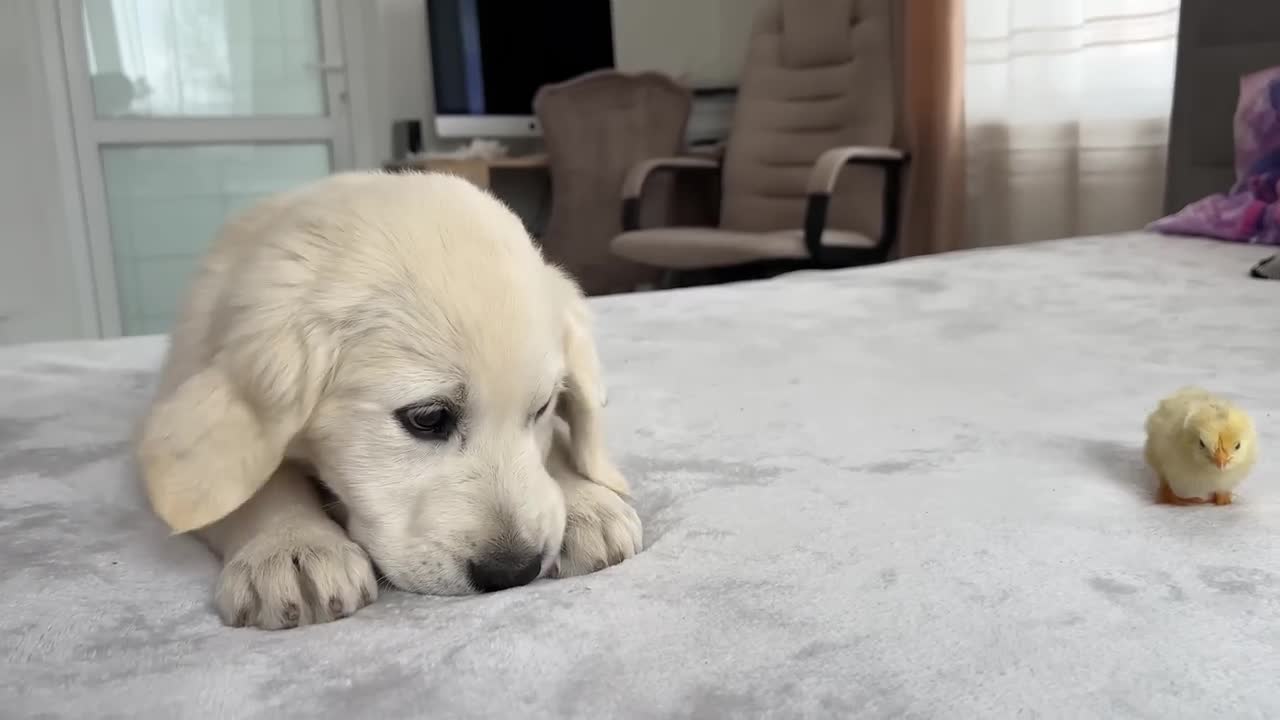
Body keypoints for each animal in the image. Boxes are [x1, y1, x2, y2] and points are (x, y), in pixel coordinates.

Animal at [132, 170, 640, 625]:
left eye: (542, 408)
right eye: (427, 418)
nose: (513, 570)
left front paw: (584, 503)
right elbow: (252, 483)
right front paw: (292, 546)